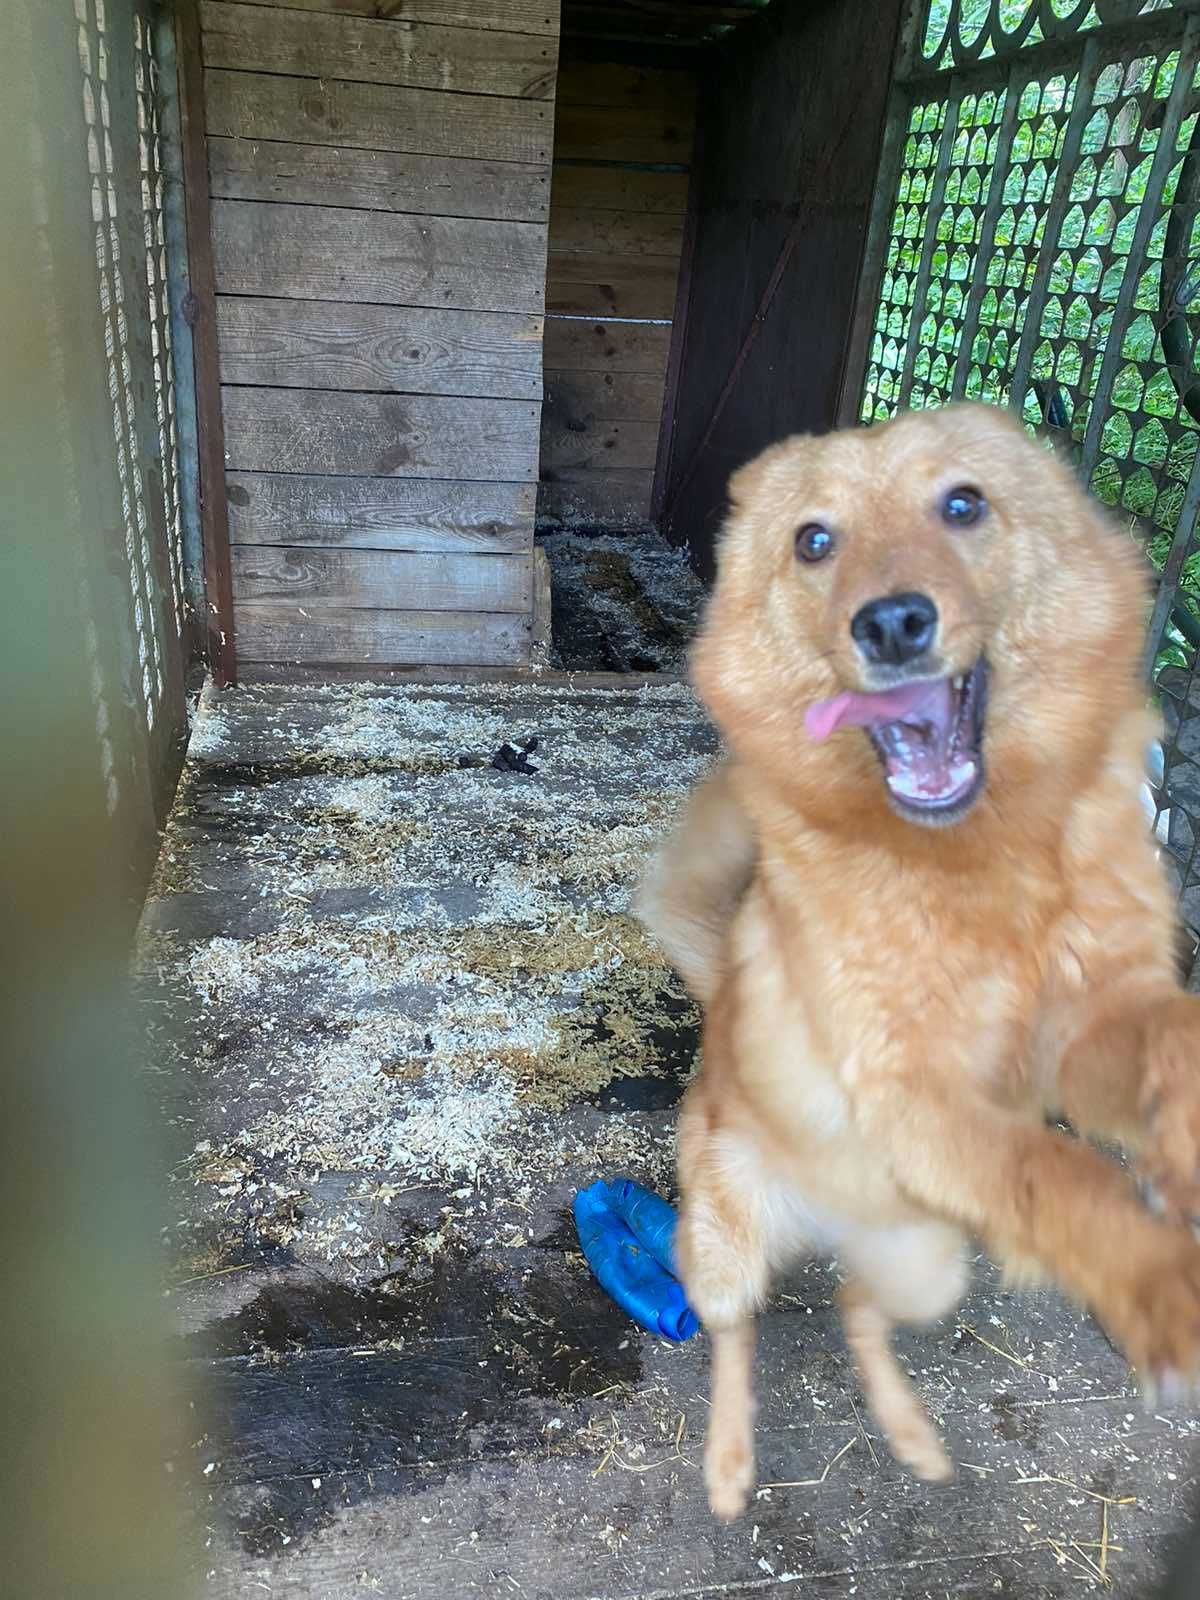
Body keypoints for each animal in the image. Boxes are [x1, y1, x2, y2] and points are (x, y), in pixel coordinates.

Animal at [643, 396, 1200, 1510]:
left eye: (964, 505)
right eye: (814, 541)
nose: (894, 623)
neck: (983, 861)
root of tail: (826, 1226)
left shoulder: (1093, 1024)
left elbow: (1172, 1035)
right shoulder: (915, 1094)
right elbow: (1059, 1172)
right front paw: (1161, 1283)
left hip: (927, 1264)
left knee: (859, 1310)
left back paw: (910, 1434)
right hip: (720, 1249)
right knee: (735, 1335)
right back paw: (728, 1464)